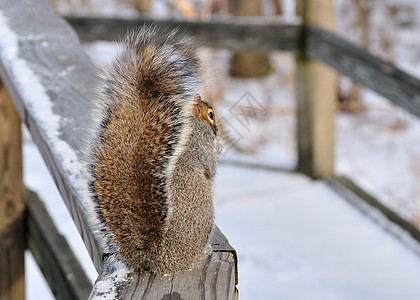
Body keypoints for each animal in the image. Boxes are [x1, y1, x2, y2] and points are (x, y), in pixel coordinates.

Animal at [81, 27, 220, 274]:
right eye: (211, 114)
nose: (219, 129)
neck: (191, 120)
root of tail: (156, 258)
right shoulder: (201, 140)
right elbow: (210, 165)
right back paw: (204, 253)